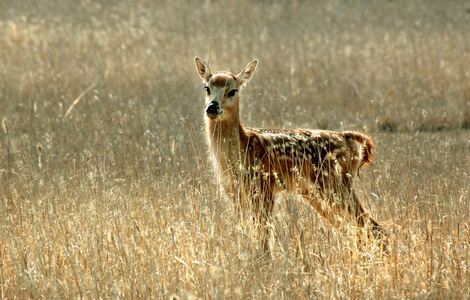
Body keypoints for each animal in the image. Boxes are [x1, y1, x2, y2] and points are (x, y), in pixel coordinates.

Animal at [194, 56, 386, 253]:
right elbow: (243, 230)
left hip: (336, 184)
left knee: (373, 227)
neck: (242, 148)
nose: (212, 107)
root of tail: (352, 140)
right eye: (207, 88)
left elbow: (263, 238)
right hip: (317, 193)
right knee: (357, 230)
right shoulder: (232, 192)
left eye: (233, 91)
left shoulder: (264, 187)